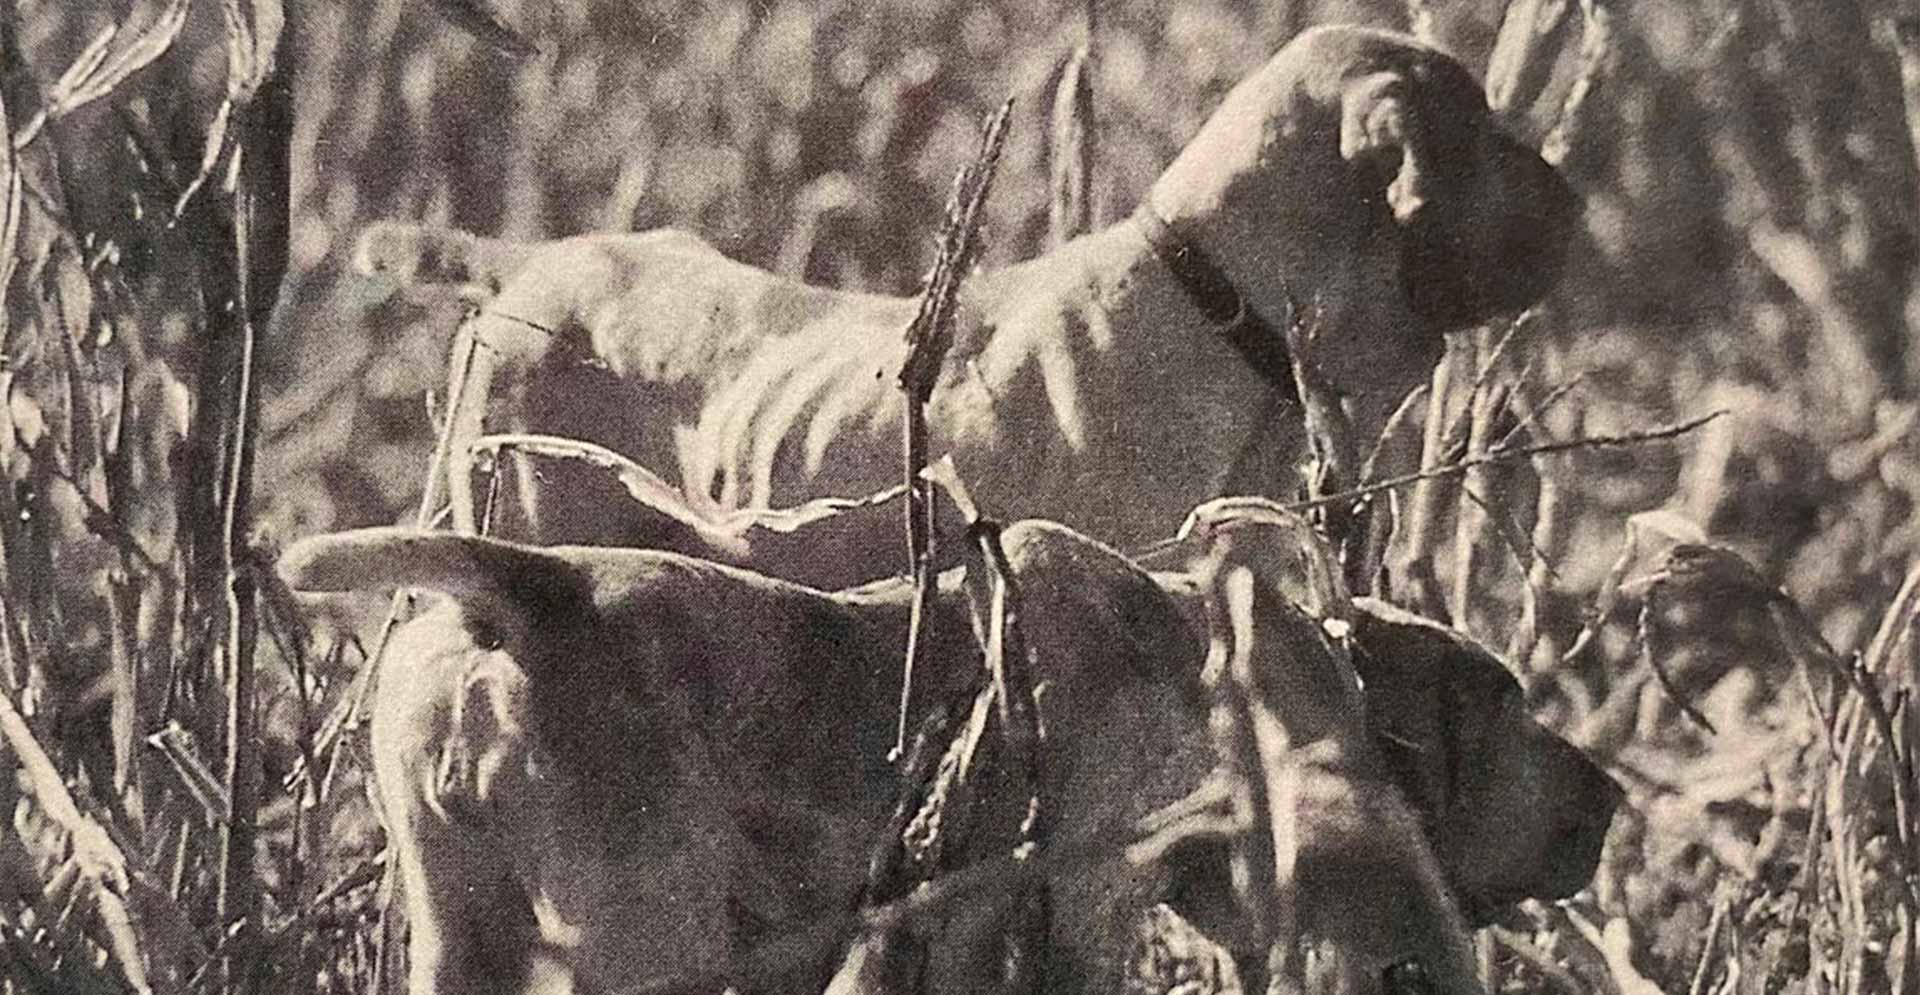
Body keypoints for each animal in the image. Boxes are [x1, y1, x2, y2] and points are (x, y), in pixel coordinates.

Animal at [278, 514, 1612, 995]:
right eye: (1506, 705)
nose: (1609, 799)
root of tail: (527, 588)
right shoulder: (1080, 911)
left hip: (460, 933)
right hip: (643, 946)